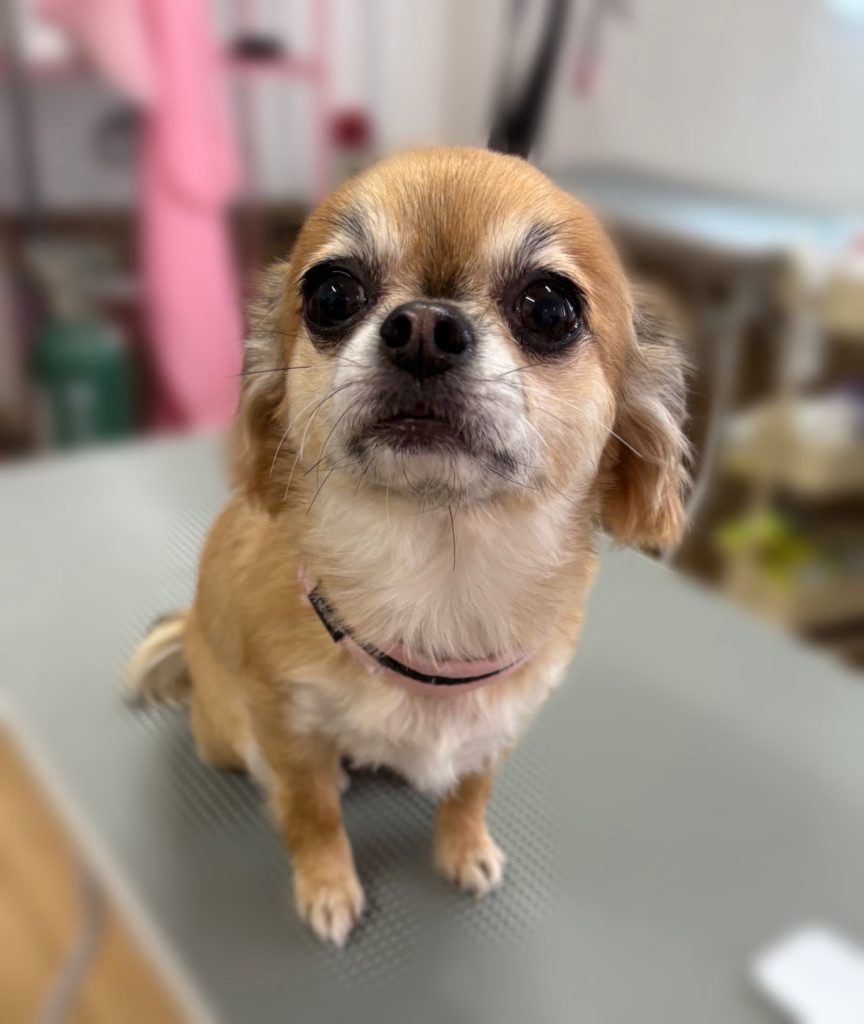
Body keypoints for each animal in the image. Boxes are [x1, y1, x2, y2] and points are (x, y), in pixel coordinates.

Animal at [128, 147, 689, 947]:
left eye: (550, 308)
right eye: (331, 294)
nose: (423, 325)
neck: (439, 585)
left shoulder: (496, 730)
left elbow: (470, 791)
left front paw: (464, 847)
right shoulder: (285, 726)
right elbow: (311, 814)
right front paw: (327, 884)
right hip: (229, 727)